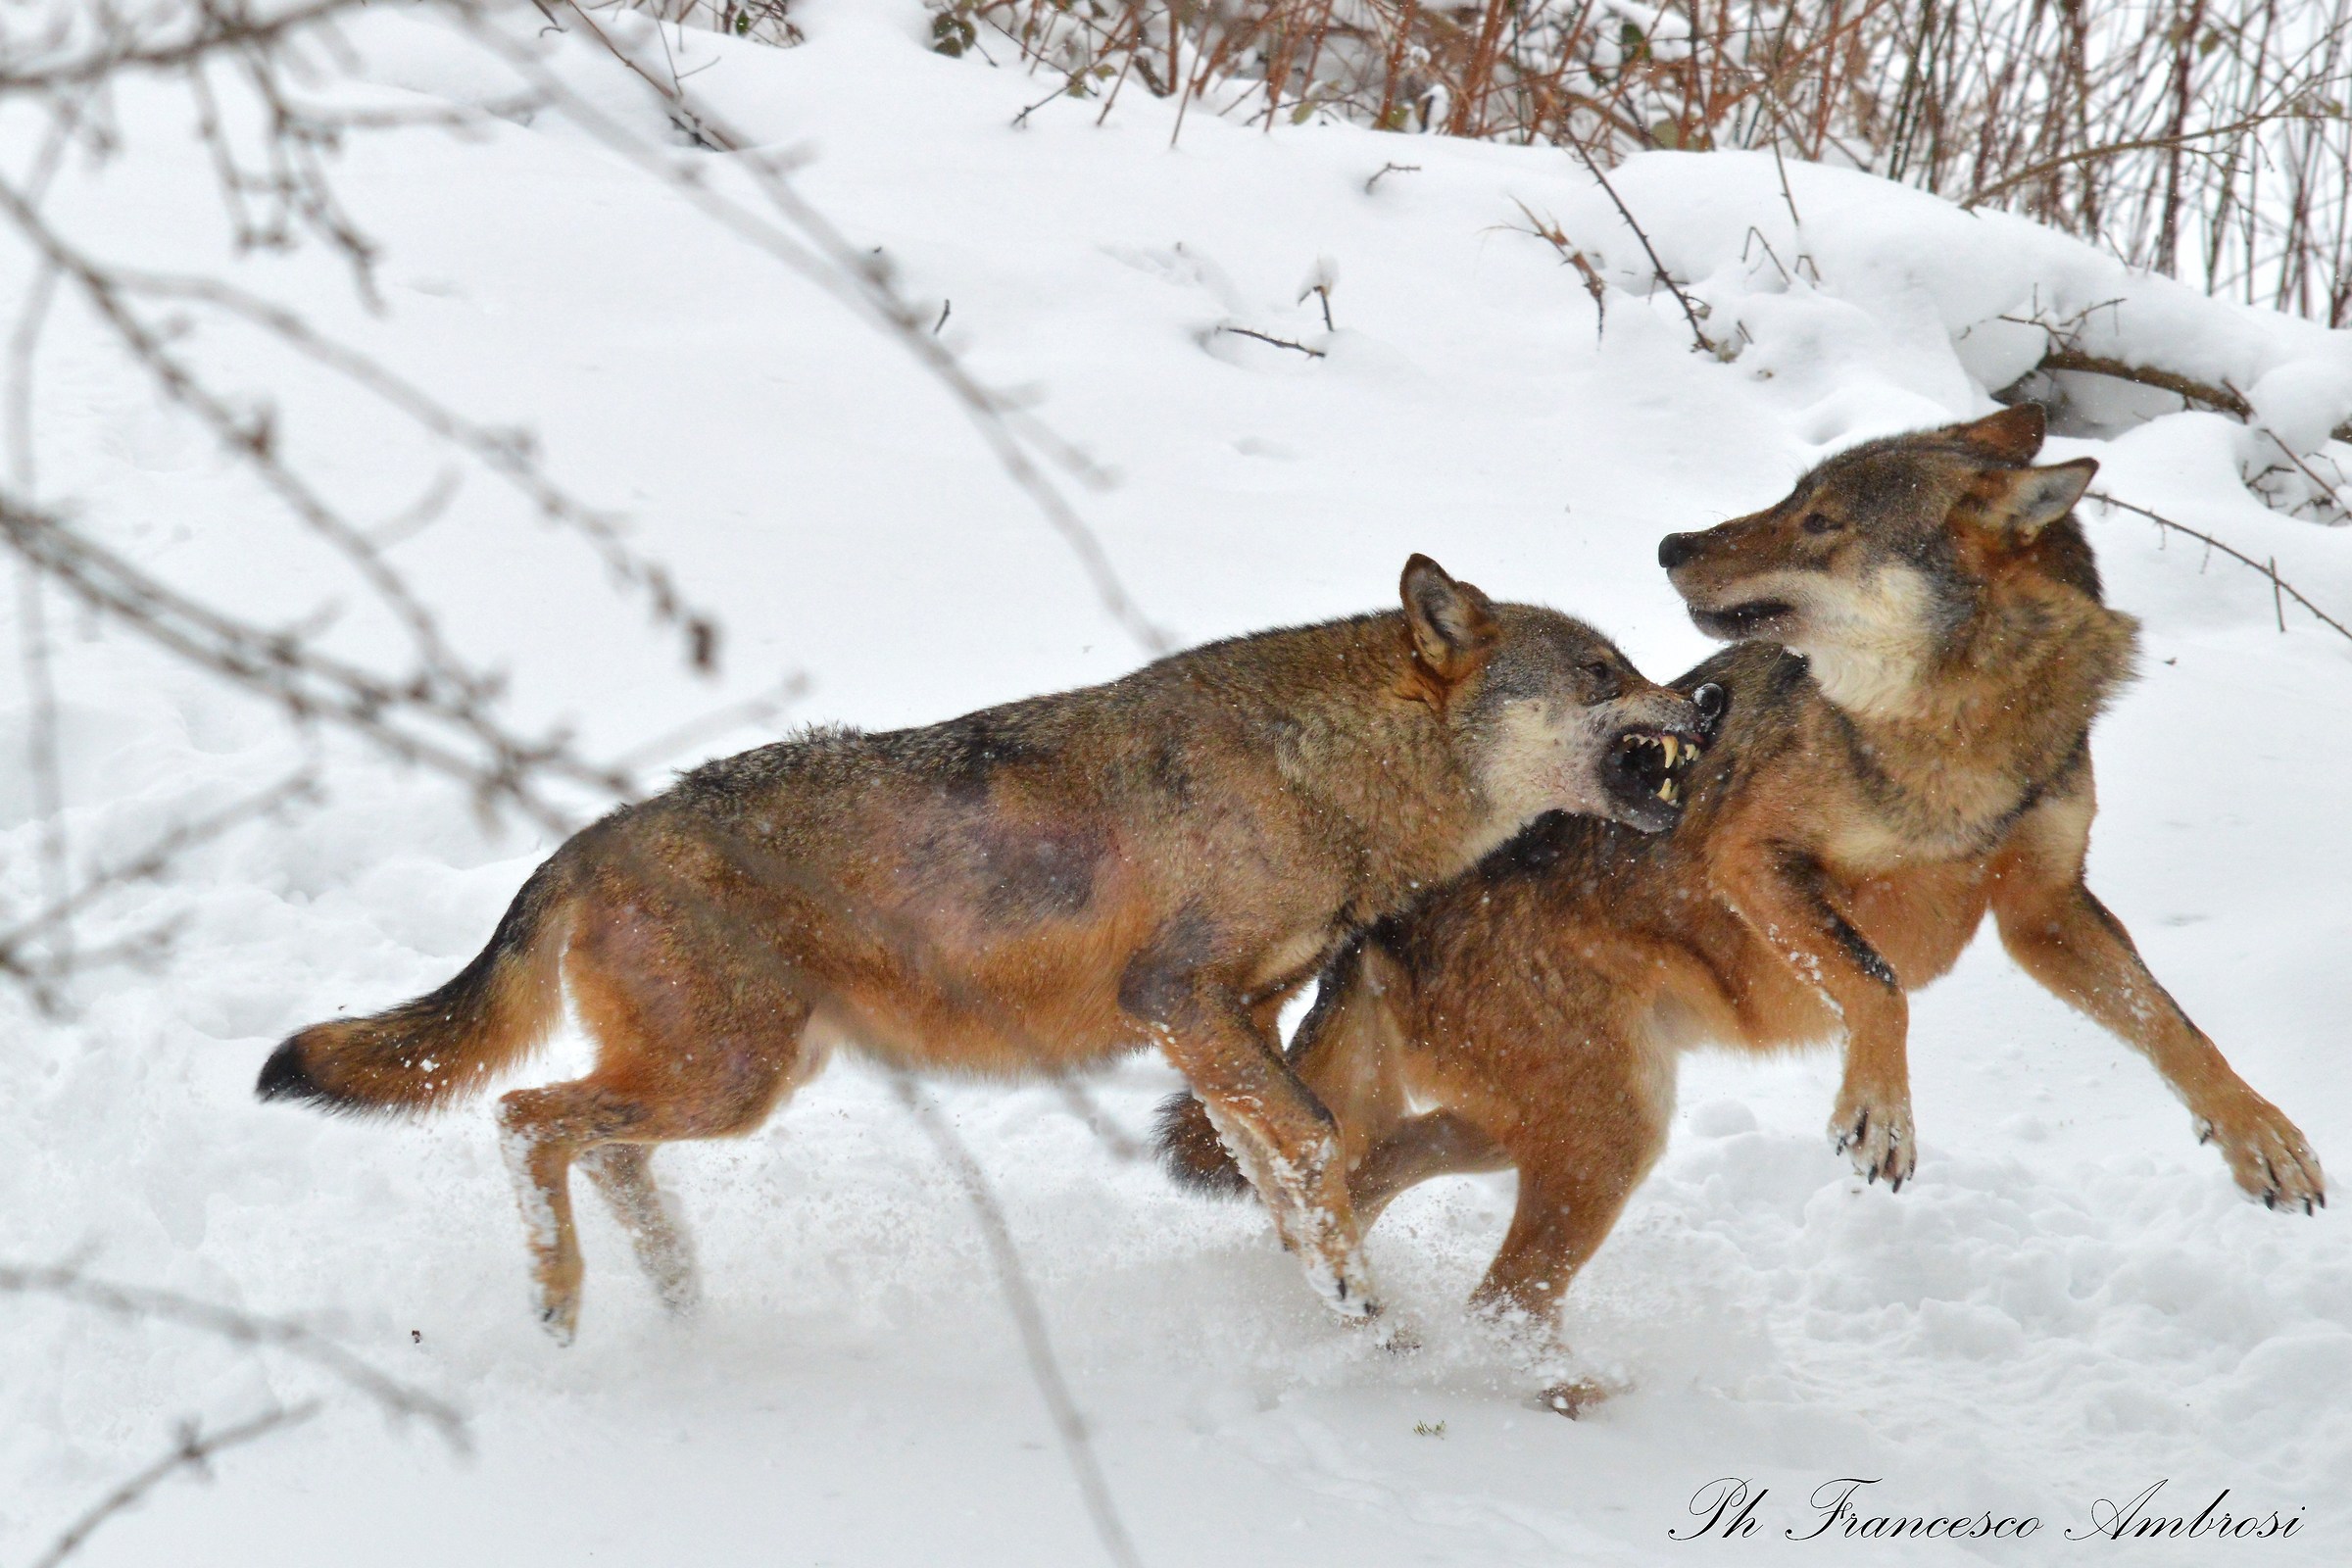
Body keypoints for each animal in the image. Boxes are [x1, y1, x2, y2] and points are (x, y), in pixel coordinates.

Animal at [257, 555, 1708, 1341]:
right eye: (1603, 671)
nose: (1700, 702)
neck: (1329, 777)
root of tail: (598, 831)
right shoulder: (1175, 996)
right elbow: (1307, 1138)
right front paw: (1350, 1293)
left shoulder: (1228, 1018)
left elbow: (1288, 1164)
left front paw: (1342, 1296)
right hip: (727, 1077)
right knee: (523, 1117)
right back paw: (564, 1301)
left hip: (742, 1084)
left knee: (598, 1147)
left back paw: (674, 1296)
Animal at [1157, 409, 2323, 1388]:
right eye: (1791, 497)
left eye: (1822, 521)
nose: (1673, 543)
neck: (1948, 731)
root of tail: (1374, 924)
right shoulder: (1750, 858)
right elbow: (1877, 981)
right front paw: (1878, 1117)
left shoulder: (2046, 910)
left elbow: (2171, 1027)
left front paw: (2262, 1140)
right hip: (1611, 1130)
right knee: (1499, 1294)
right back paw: (1567, 1401)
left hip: (1547, 1125)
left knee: (1371, 1185)